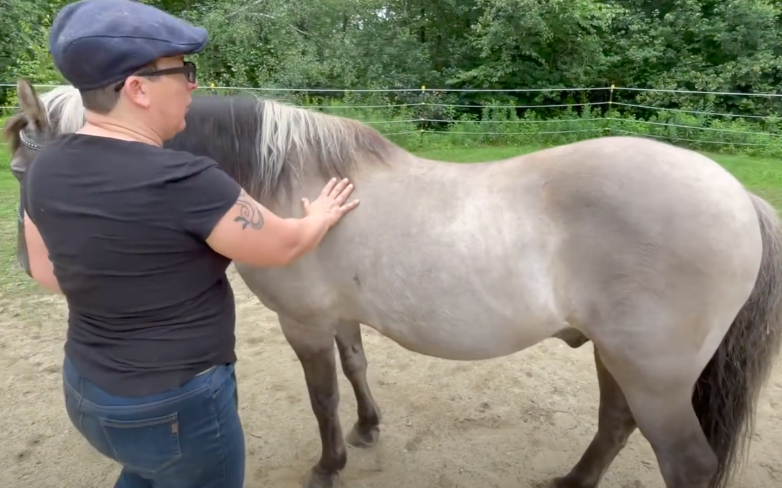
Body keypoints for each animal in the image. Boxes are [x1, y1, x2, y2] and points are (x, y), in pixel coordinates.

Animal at [4, 78, 782, 488]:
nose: (31, 264)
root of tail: (739, 197)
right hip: (617, 358)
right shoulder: (339, 316)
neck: (287, 182)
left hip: (654, 375)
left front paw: (329, 464)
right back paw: (569, 481)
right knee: (615, 424)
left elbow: (321, 397)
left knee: (686, 461)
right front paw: (369, 427)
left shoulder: (303, 323)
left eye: (19, 168)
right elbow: (356, 368)